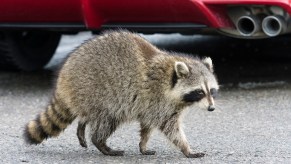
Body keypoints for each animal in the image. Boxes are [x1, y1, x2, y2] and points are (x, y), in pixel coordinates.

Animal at [23, 30, 219, 158]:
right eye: (199, 92)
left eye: (211, 91)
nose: (211, 108)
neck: (171, 77)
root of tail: (64, 77)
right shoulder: (159, 101)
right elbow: (170, 129)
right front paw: (187, 149)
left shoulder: (150, 105)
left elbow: (147, 126)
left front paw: (143, 144)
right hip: (98, 93)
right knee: (106, 121)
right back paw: (102, 144)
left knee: (89, 115)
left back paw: (82, 125)